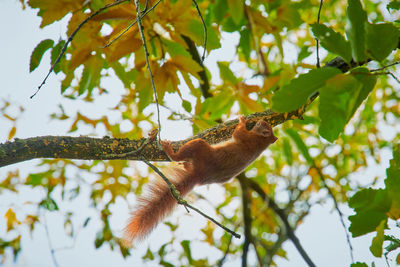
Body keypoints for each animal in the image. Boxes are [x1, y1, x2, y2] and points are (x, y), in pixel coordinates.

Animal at [123, 116, 276, 244]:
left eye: (264, 125)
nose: (261, 119)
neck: (261, 142)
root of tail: (199, 175)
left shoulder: (247, 139)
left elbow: (237, 134)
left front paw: (242, 121)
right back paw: (183, 163)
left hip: (200, 146)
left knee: (183, 153)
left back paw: (171, 152)